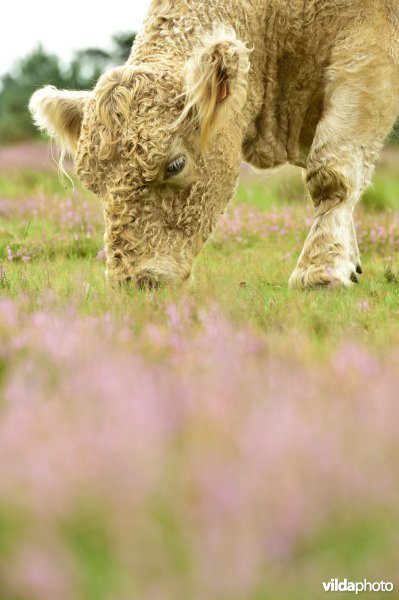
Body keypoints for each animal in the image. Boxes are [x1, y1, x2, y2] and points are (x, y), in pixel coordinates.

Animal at [28, 0, 399, 290]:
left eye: (175, 165)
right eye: (93, 184)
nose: (132, 281)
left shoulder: (368, 54)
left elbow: (331, 173)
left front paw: (320, 270)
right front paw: (346, 261)